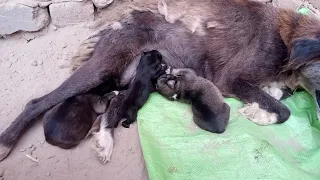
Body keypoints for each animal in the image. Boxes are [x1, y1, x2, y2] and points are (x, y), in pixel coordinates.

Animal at [0, 0, 320, 160]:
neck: (289, 38)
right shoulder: (232, 78)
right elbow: (283, 111)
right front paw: (260, 114)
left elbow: (277, 96)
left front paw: (265, 101)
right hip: (104, 67)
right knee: (36, 102)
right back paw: (6, 142)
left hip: (129, 78)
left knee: (113, 107)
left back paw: (104, 140)